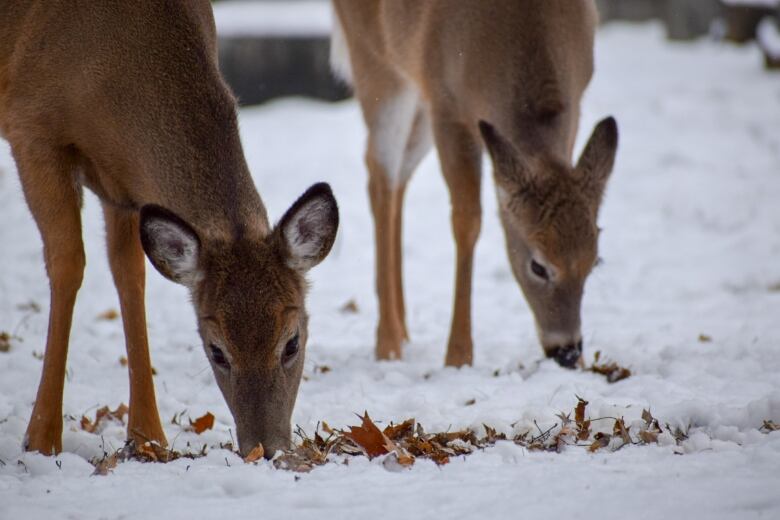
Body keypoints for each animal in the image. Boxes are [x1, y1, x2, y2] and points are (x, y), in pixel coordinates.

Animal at [1, 0, 340, 458]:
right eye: (216, 351)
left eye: (292, 342)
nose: (265, 450)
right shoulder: (31, 127)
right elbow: (68, 262)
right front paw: (40, 439)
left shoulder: (123, 185)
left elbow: (130, 275)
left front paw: (148, 439)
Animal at [332, 2, 620, 372]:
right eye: (538, 266)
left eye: (595, 262)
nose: (567, 351)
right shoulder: (446, 104)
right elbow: (467, 221)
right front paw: (458, 357)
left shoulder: (576, 101)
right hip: (377, 64)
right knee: (380, 175)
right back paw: (389, 344)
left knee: (398, 178)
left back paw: (404, 330)